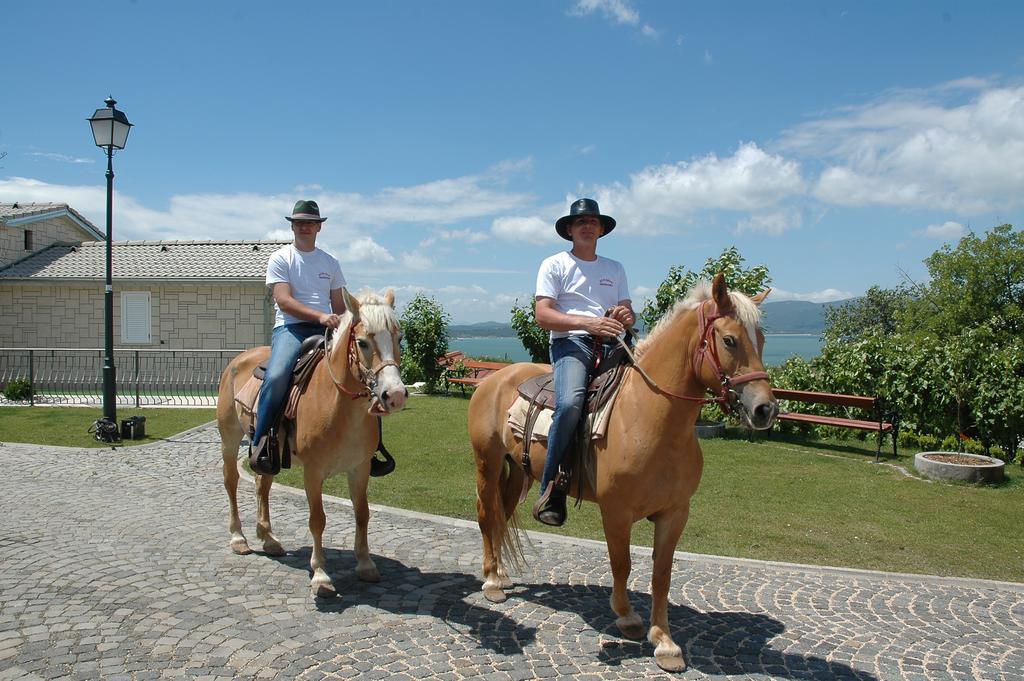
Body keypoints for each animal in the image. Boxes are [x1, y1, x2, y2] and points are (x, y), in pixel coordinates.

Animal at [216, 286, 407, 593]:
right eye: (363, 342)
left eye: (398, 338)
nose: (396, 395)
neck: (339, 405)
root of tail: (239, 360)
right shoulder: (313, 472)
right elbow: (317, 519)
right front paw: (321, 575)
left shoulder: (360, 468)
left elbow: (362, 513)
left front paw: (365, 564)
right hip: (229, 440)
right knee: (231, 481)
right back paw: (239, 538)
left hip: (267, 454)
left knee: (262, 484)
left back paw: (268, 538)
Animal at [468, 274, 774, 667]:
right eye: (730, 340)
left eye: (761, 339)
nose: (765, 409)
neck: (650, 418)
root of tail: (494, 379)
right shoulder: (616, 511)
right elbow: (622, 564)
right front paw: (627, 617)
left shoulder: (675, 513)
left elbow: (662, 574)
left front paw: (665, 642)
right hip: (487, 463)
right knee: (485, 514)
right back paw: (491, 582)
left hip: (518, 471)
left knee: (500, 515)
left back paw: (502, 574)